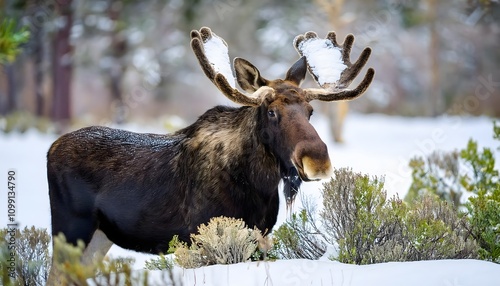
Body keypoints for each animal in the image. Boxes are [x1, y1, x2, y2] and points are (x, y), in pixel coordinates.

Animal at [47, 26, 374, 282]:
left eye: (310, 111)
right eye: (271, 112)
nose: (317, 161)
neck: (259, 185)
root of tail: (51, 148)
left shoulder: (260, 238)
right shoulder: (202, 239)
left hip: (99, 237)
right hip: (70, 230)